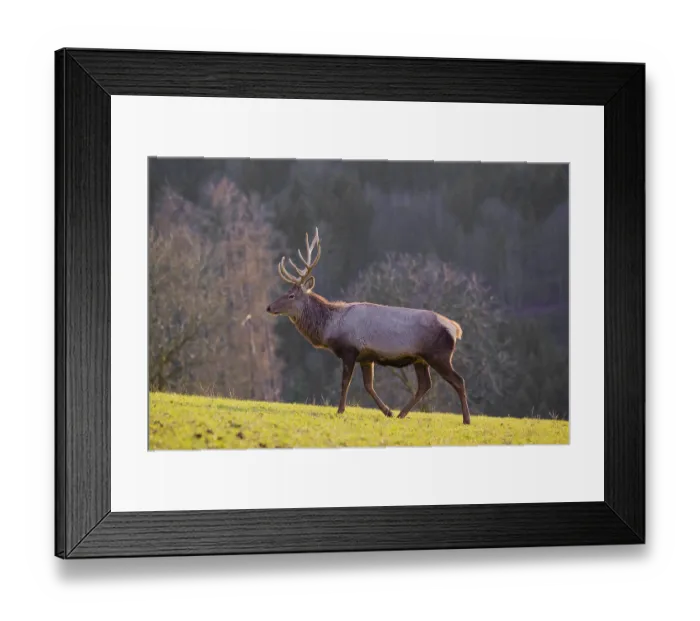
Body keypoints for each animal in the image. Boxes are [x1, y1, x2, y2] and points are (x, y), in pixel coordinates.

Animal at [266, 228, 471, 425]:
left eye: (291, 295)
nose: (269, 307)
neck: (330, 327)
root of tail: (456, 329)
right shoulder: (366, 357)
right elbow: (368, 385)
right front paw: (388, 411)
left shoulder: (350, 350)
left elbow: (345, 382)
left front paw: (340, 410)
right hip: (420, 359)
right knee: (425, 385)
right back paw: (401, 414)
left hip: (439, 355)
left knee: (458, 380)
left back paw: (466, 419)